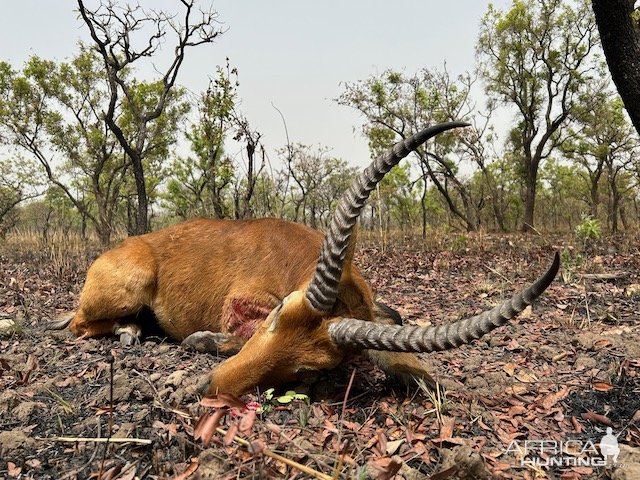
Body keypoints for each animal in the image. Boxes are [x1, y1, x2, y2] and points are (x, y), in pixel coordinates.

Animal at [51, 121, 560, 398]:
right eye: (278, 314)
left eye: (308, 371)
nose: (209, 389)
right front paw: (201, 340)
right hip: (124, 287)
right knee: (79, 324)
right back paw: (130, 331)